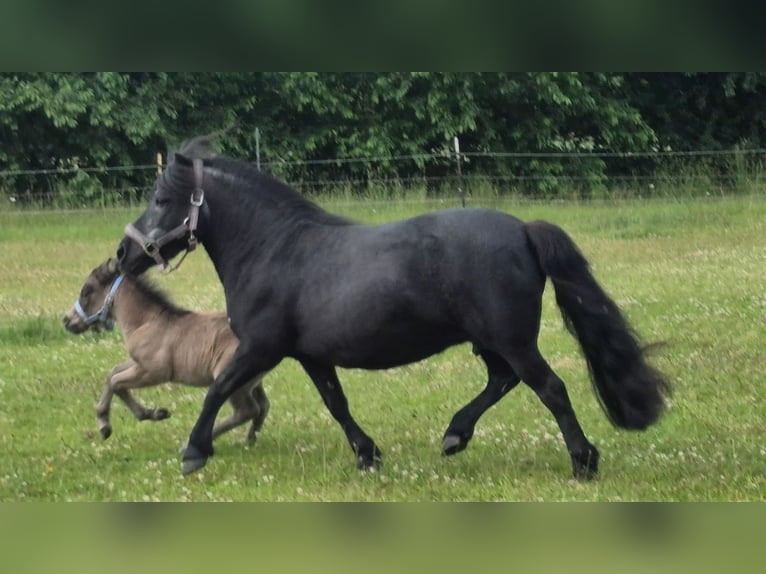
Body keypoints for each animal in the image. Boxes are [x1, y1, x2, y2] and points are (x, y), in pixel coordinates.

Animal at [63, 257, 270, 445]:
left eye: (86, 291)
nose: (66, 321)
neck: (146, 322)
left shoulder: (153, 372)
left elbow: (116, 382)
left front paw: (109, 423)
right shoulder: (138, 363)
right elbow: (112, 373)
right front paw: (151, 413)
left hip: (229, 379)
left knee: (247, 410)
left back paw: (190, 444)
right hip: (251, 382)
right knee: (263, 406)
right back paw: (249, 440)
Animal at [116, 135, 670, 480]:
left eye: (162, 199)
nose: (123, 253)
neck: (275, 249)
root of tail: (522, 230)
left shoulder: (260, 348)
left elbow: (217, 390)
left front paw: (194, 451)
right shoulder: (310, 356)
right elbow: (337, 405)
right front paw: (368, 455)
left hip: (512, 339)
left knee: (549, 388)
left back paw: (583, 462)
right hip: (491, 342)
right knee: (502, 380)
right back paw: (454, 436)